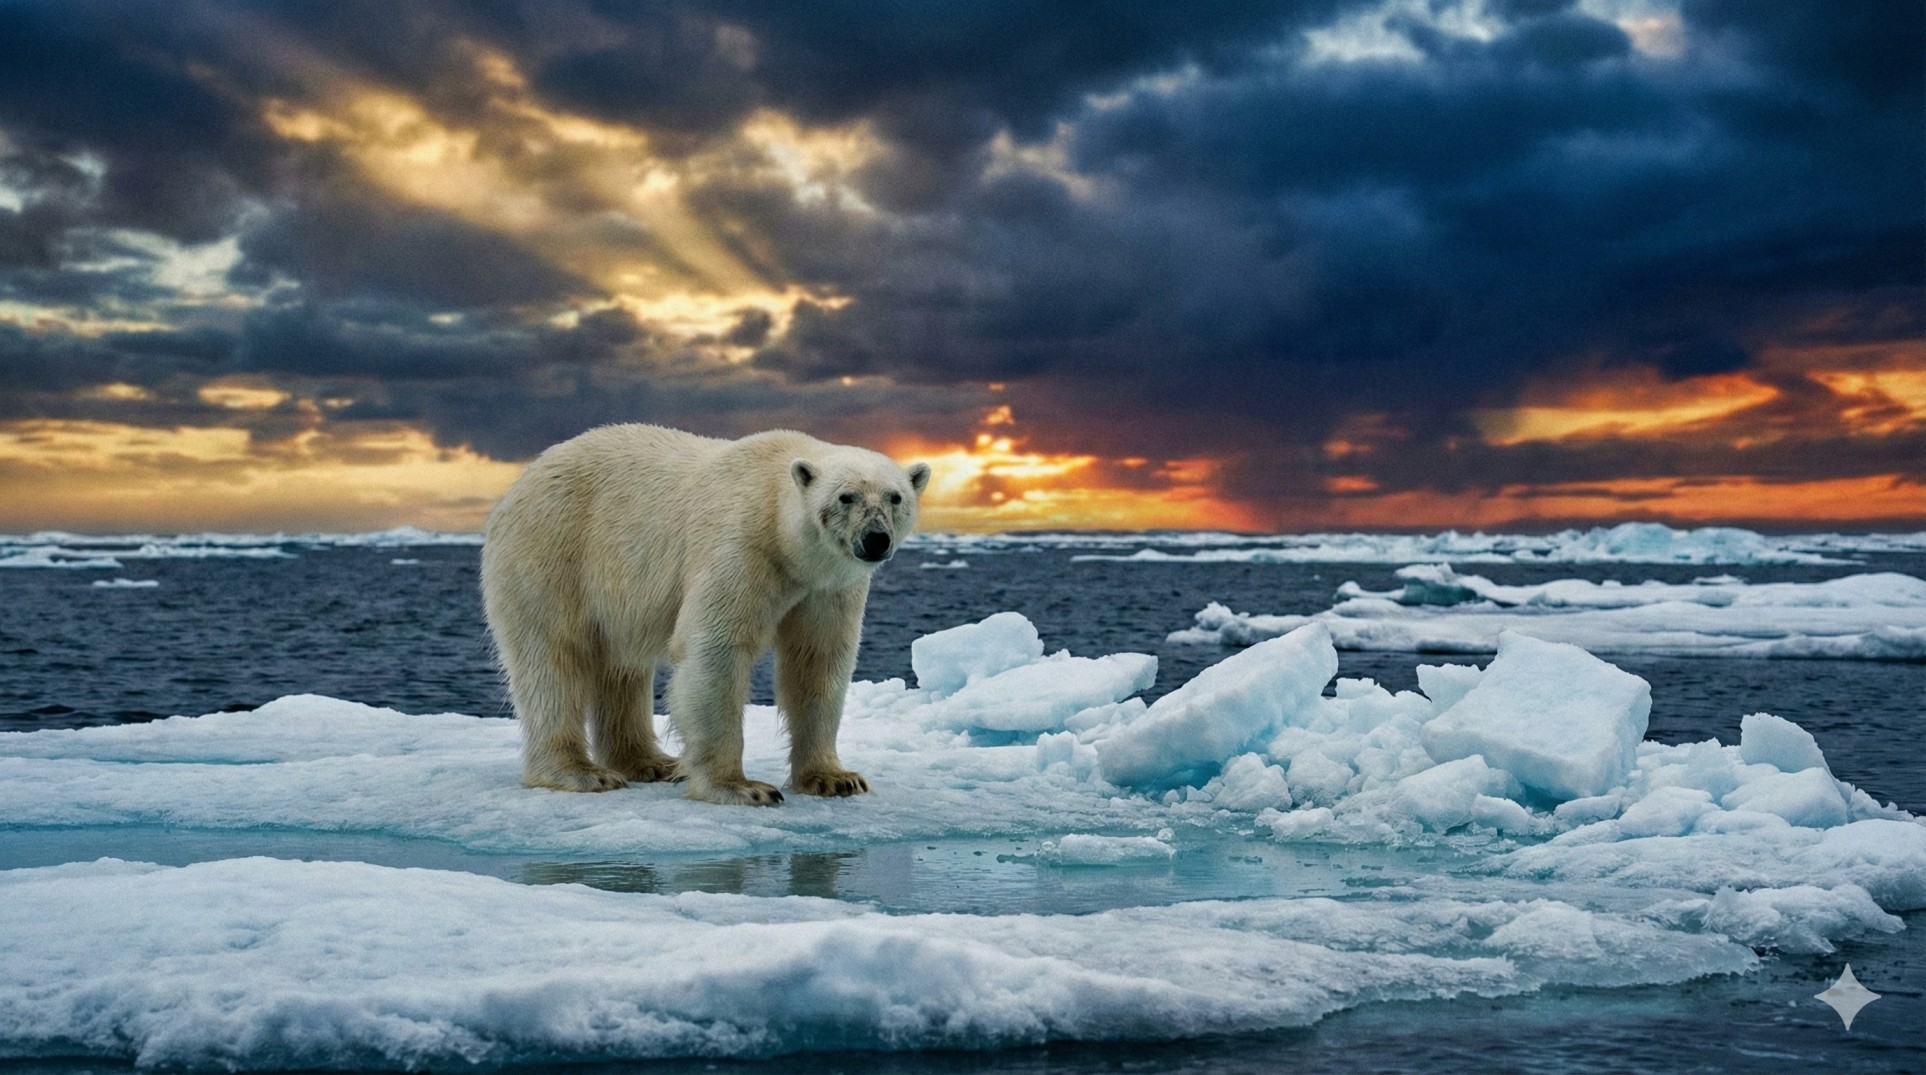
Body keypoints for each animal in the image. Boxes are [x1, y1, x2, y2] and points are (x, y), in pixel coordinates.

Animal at [481, 424, 930, 806]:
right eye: (845, 496)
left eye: (895, 497)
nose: (876, 539)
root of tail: (520, 482)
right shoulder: (742, 545)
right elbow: (717, 649)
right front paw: (742, 787)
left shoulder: (828, 587)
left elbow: (817, 661)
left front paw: (835, 779)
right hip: (555, 551)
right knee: (553, 658)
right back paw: (583, 772)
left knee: (621, 666)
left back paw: (652, 762)